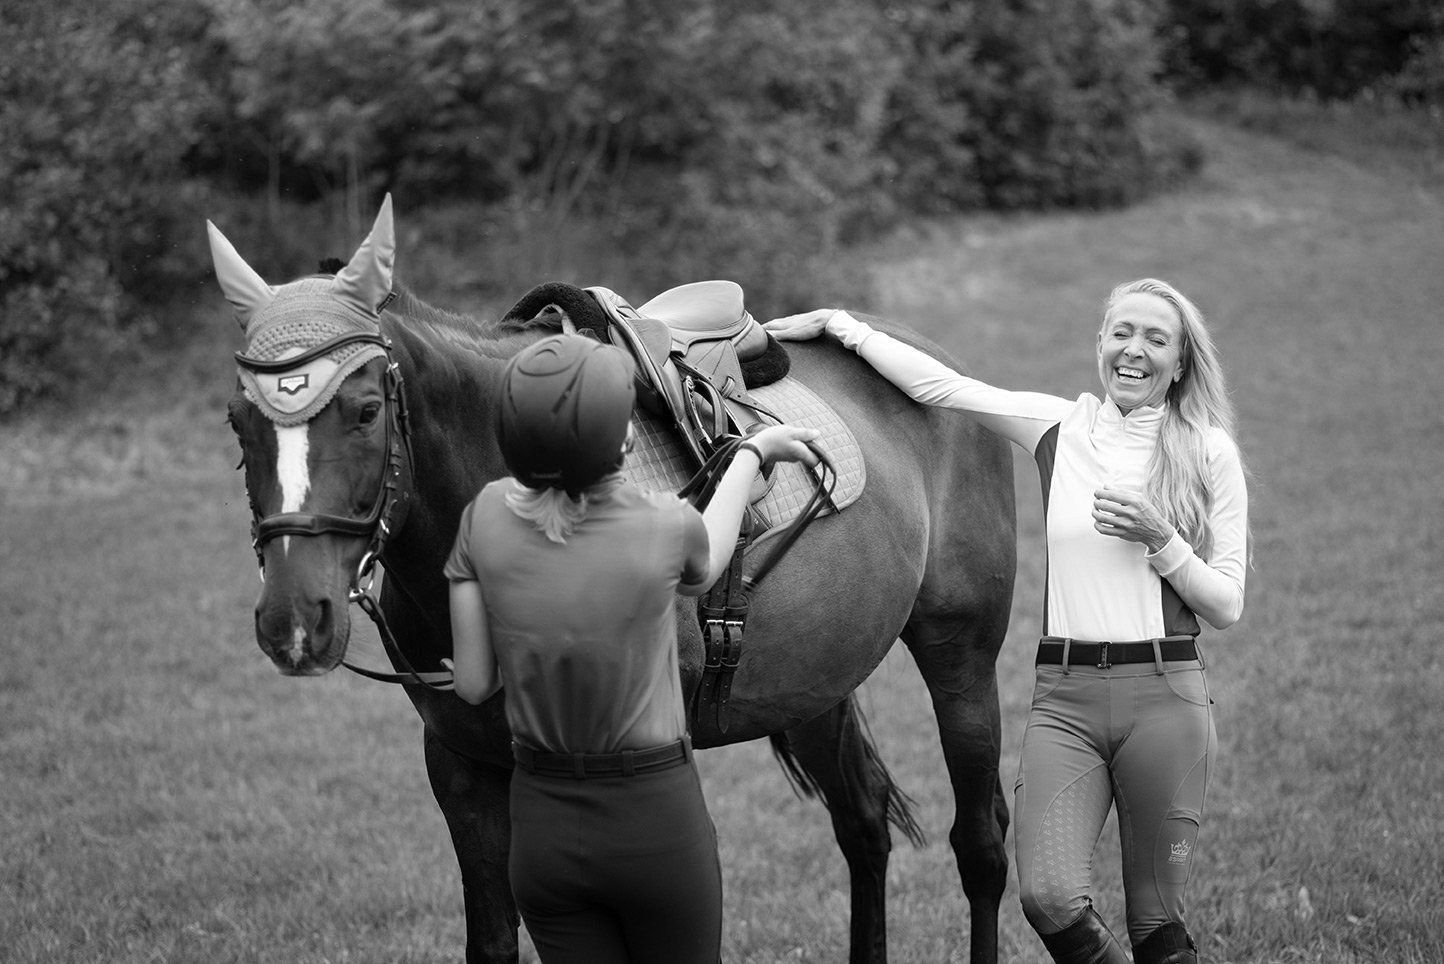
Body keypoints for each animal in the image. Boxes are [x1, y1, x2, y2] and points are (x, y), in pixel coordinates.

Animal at [210, 196, 1017, 964]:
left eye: (366, 411)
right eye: (238, 423)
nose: (294, 619)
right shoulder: (462, 766)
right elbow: (495, 939)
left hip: (961, 654)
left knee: (980, 842)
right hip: (815, 679)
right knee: (863, 823)